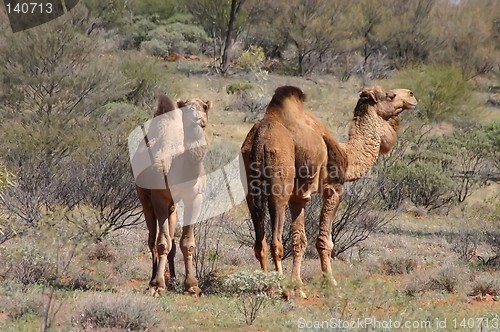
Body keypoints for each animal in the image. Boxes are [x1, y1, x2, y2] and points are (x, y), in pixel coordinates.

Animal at [132, 93, 212, 296]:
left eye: (204, 106)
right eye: (186, 106)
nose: (196, 116)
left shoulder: (195, 197)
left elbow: (187, 243)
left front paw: (192, 286)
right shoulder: (160, 197)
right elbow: (162, 243)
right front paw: (157, 285)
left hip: (173, 207)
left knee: (172, 240)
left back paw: (173, 278)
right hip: (144, 198)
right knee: (152, 239)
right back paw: (153, 279)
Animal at [240, 85, 416, 296]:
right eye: (390, 95)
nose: (411, 95)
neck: (348, 154)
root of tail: (261, 137)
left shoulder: (298, 198)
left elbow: (299, 241)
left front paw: (298, 286)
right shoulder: (333, 189)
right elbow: (324, 241)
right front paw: (330, 282)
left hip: (251, 186)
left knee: (260, 242)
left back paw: (267, 286)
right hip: (279, 186)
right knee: (276, 241)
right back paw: (282, 291)